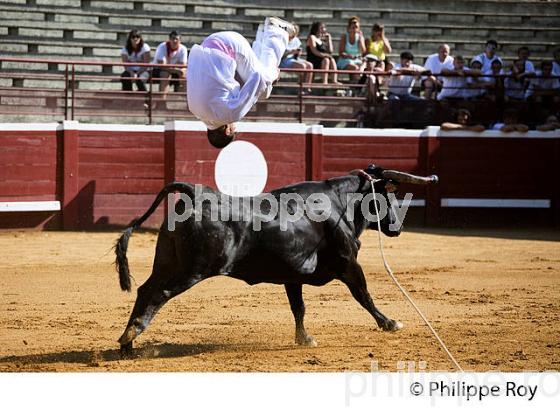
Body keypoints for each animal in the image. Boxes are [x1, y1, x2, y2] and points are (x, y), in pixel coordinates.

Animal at [115, 165, 438, 354]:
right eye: (388, 196)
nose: (398, 227)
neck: (339, 203)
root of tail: (194, 192)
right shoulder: (348, 262)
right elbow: (364, 294)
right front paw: (390, 322)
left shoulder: (292, 276)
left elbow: (299, 307)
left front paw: (304, 339)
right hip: (193, 269)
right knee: (160, 293)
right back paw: (132, 334)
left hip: (167, 261)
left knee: (145, 289)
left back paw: (127, 346)